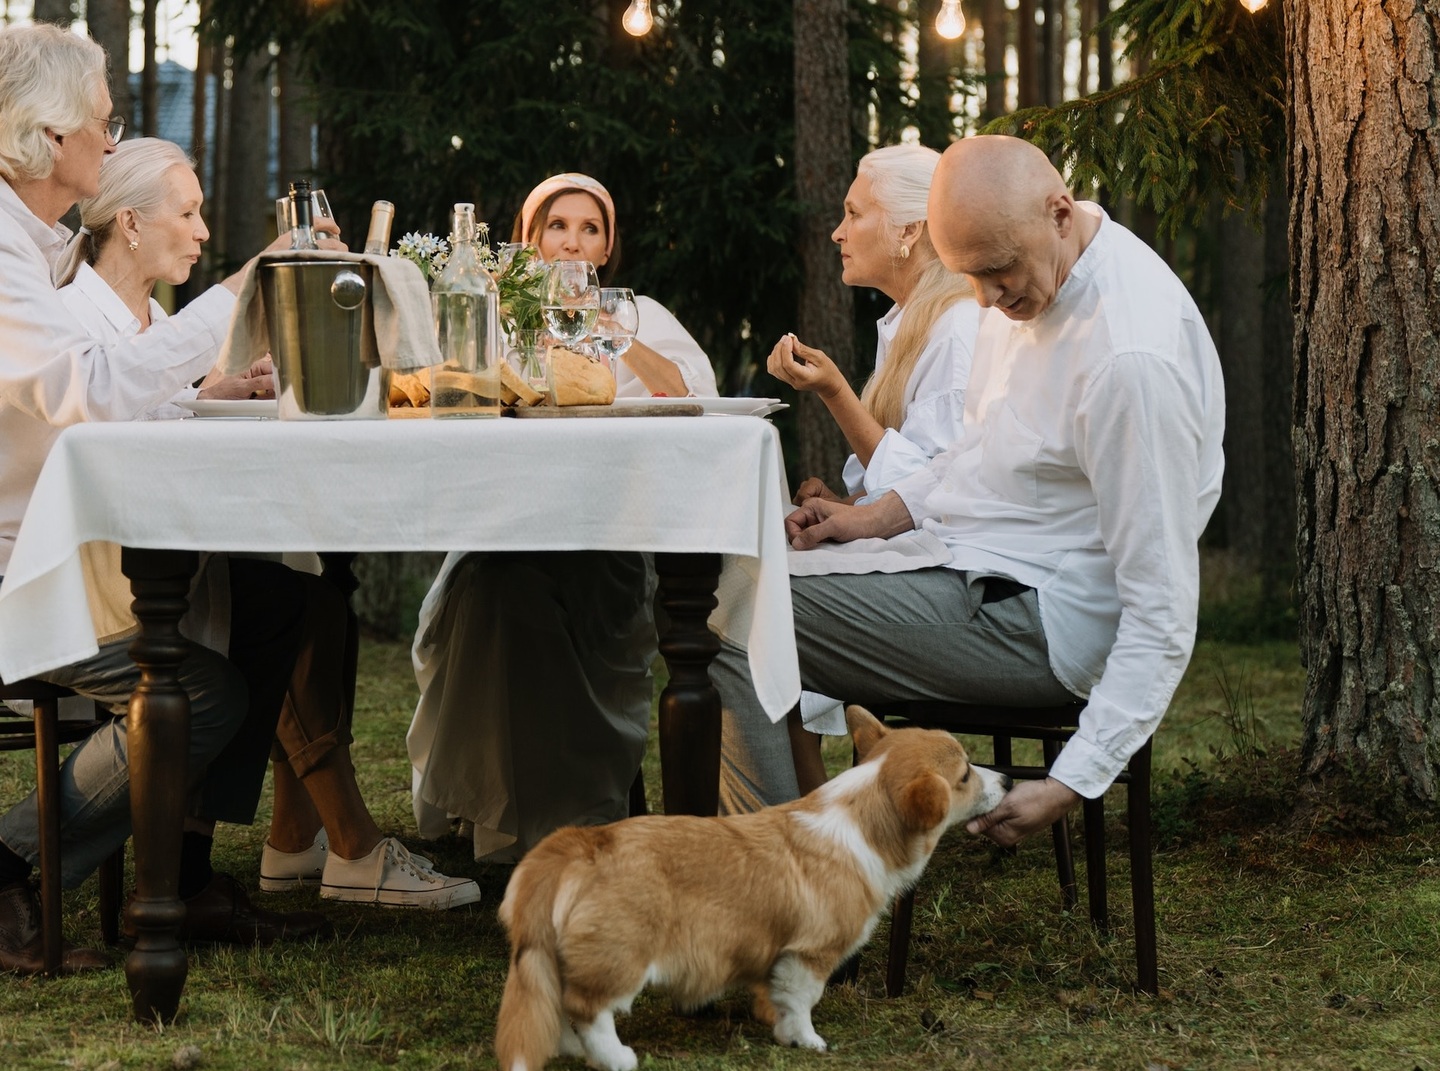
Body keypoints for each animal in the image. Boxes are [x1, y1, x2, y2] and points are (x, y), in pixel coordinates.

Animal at [489, 702, 1008, 1071]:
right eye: (965, 774)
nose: (1005, 778)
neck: (864, 817)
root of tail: (580, 845)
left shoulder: (776, 955)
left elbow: (775, 996)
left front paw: (776, 1027)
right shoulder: (809, 954)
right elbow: (802, 1002)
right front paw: (809, 1041)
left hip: (550, 956)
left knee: (555, 1004)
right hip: (622, 955)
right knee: (588, 1009)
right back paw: (616, 1058)